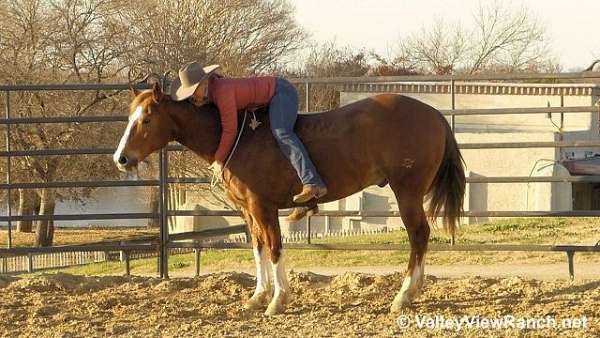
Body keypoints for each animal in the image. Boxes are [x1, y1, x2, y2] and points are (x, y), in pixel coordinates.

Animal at [113, 83, 468, 316]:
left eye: (146, 119)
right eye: (130, 116)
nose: (121, 158)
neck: (238, 135)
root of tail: (435, 114)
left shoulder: (264, 207)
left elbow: (274, 248)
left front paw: (277, 300)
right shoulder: (249, 211)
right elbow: (257, 248)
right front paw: (258, 296)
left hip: (407, 191)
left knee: (418, 235)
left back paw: (403, 296)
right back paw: (414, 291)